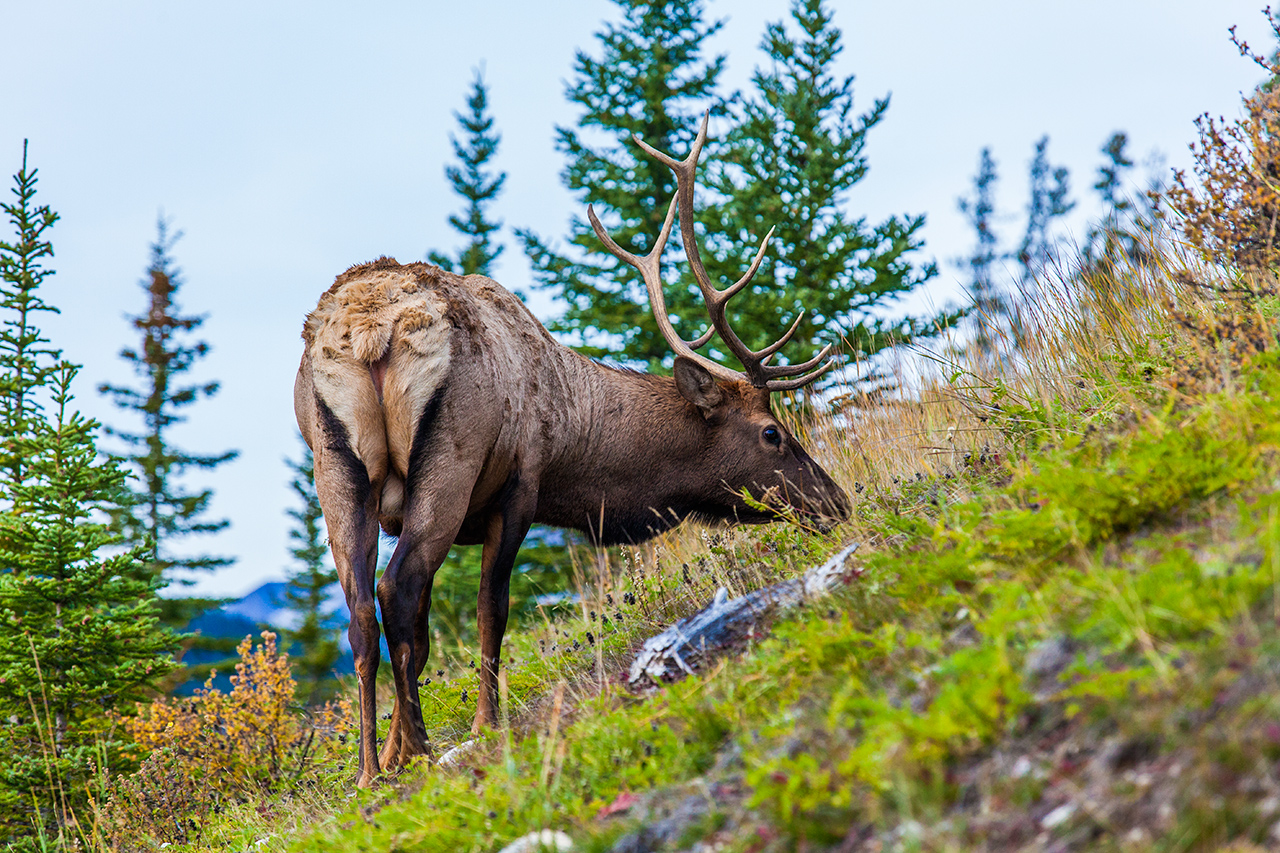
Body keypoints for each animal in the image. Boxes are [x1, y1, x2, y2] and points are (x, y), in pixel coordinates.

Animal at [291, 114, 849, 783]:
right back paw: (422, 751)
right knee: (396, 590)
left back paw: (371, 770)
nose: (838, 500)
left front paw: (397, 749)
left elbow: (424, 637)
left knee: (359, 615)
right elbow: (490, 611)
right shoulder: (520, 489)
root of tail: (371, 333)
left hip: (334, 472)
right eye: (772, 433)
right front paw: (481, 727)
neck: (572, 437)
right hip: (451, 458)